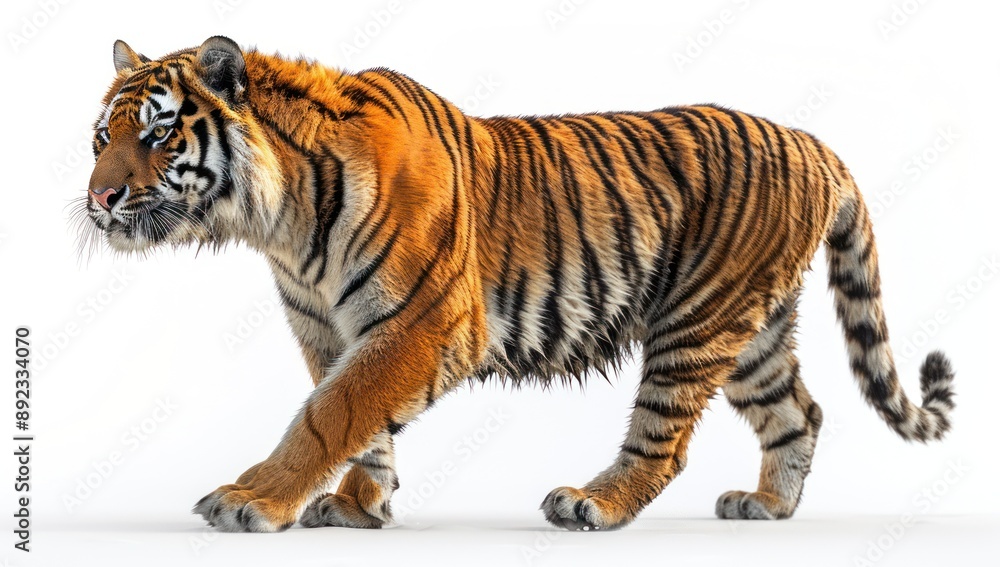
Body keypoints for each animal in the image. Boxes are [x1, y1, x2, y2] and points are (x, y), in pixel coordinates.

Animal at [78, 36, 956, 533]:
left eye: (156, 135)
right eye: (100, 136)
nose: (100, 199)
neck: (281, 220)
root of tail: (812, 142)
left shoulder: (422, 321)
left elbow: (330, 414)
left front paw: (251, 500)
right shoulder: (330, 328)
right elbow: (361, 421)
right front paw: (361, 505)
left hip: (699, 320)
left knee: (665, 438)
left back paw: (593, 504)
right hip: (751, 331)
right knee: (799, 411)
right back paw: (767, 506)